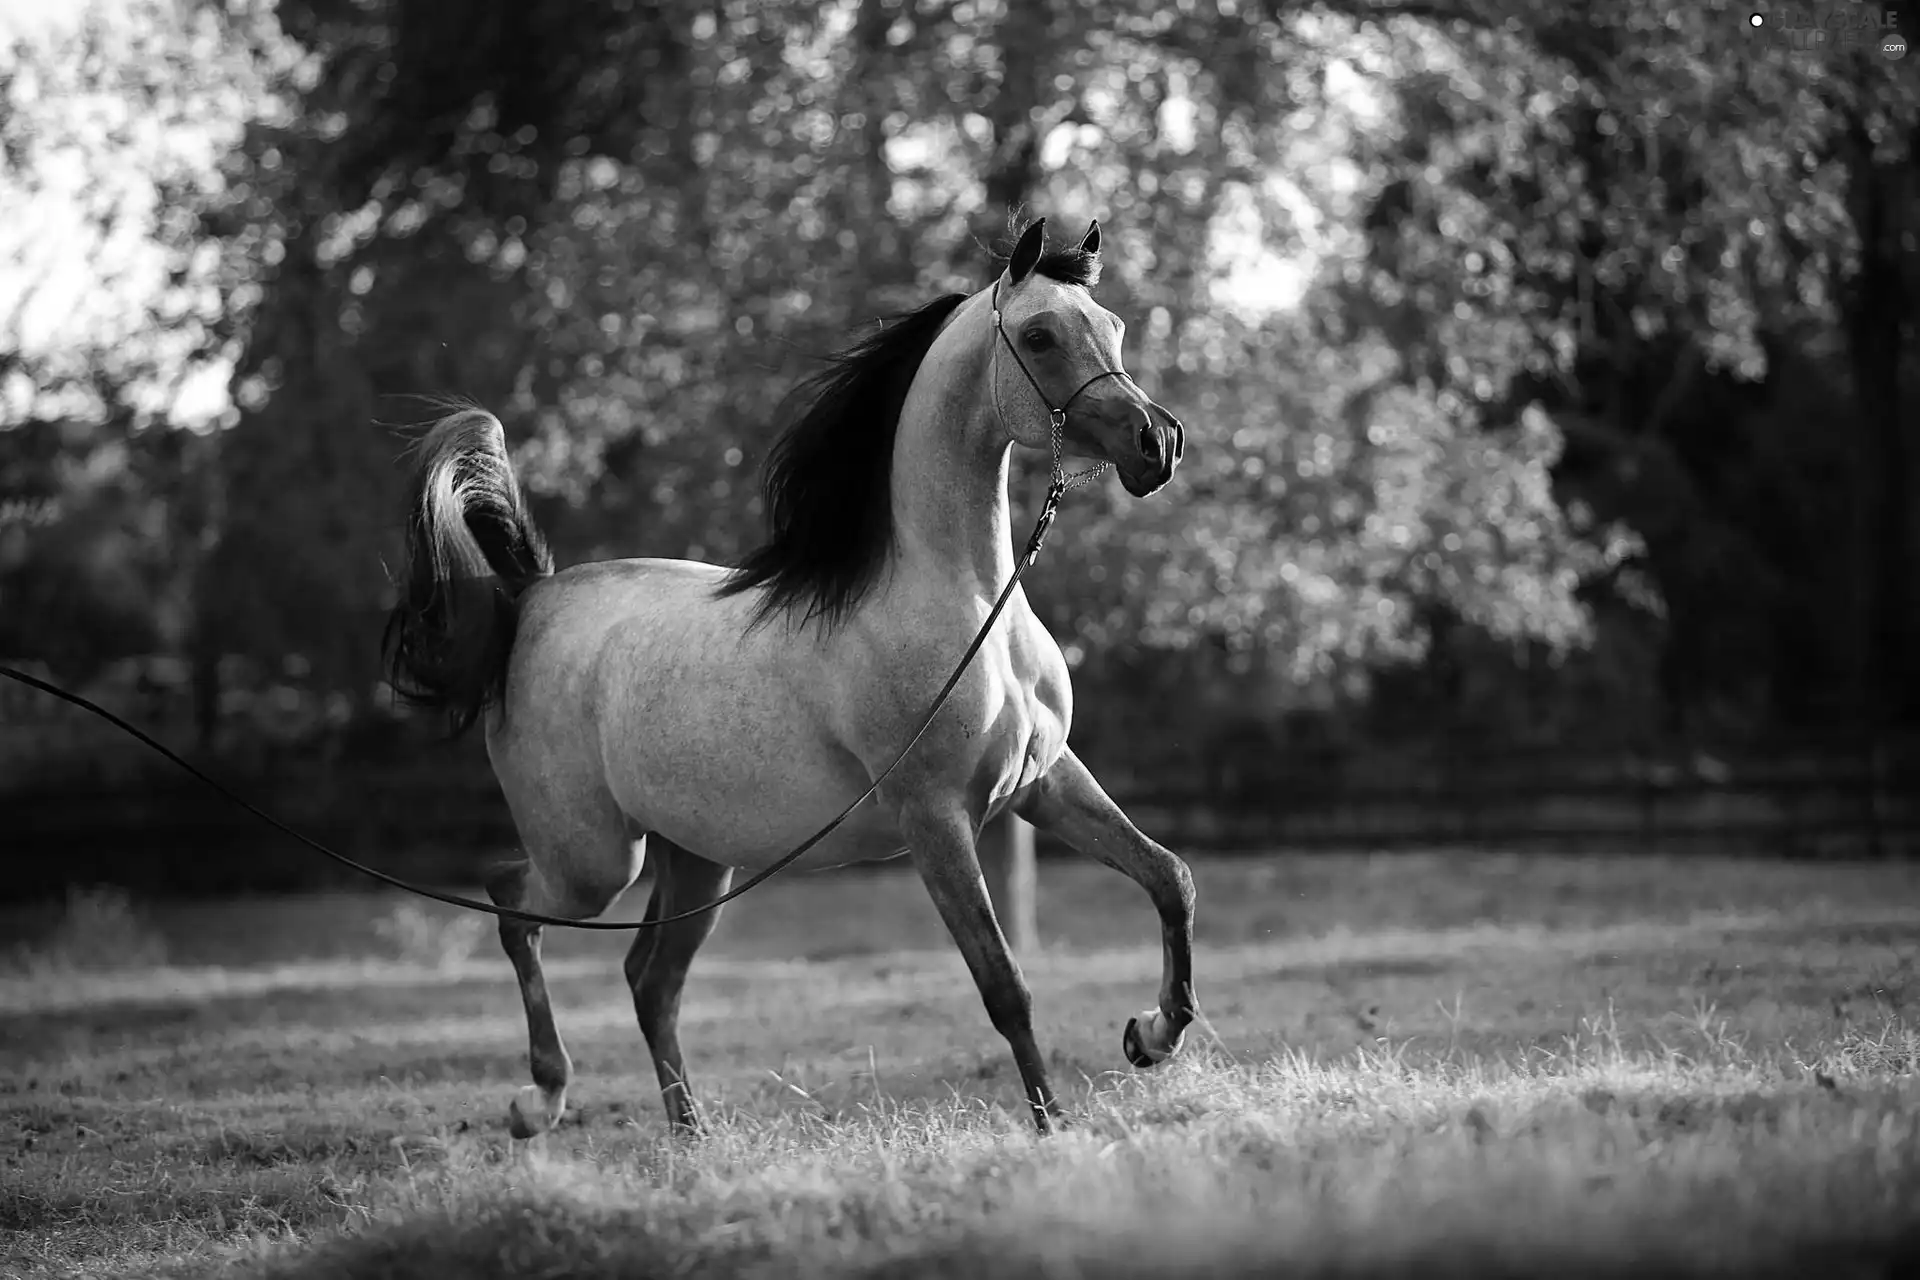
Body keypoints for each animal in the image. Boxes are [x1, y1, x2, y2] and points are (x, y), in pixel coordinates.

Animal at [380, 214, 1198, 1136]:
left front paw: (1153, 1035)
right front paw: (1053, 1123)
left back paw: (690, 1136)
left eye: (1115, 325)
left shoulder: (1044, 783)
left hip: (696, 860)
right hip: (593, 861)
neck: (964, 603)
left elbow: (1169, 877)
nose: (1158, 444)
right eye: (1040, 336)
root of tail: (533, 602)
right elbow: (1004, 985)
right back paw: (541, 1098)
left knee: (647, 979)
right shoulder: (935, 820)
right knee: (511, 905)